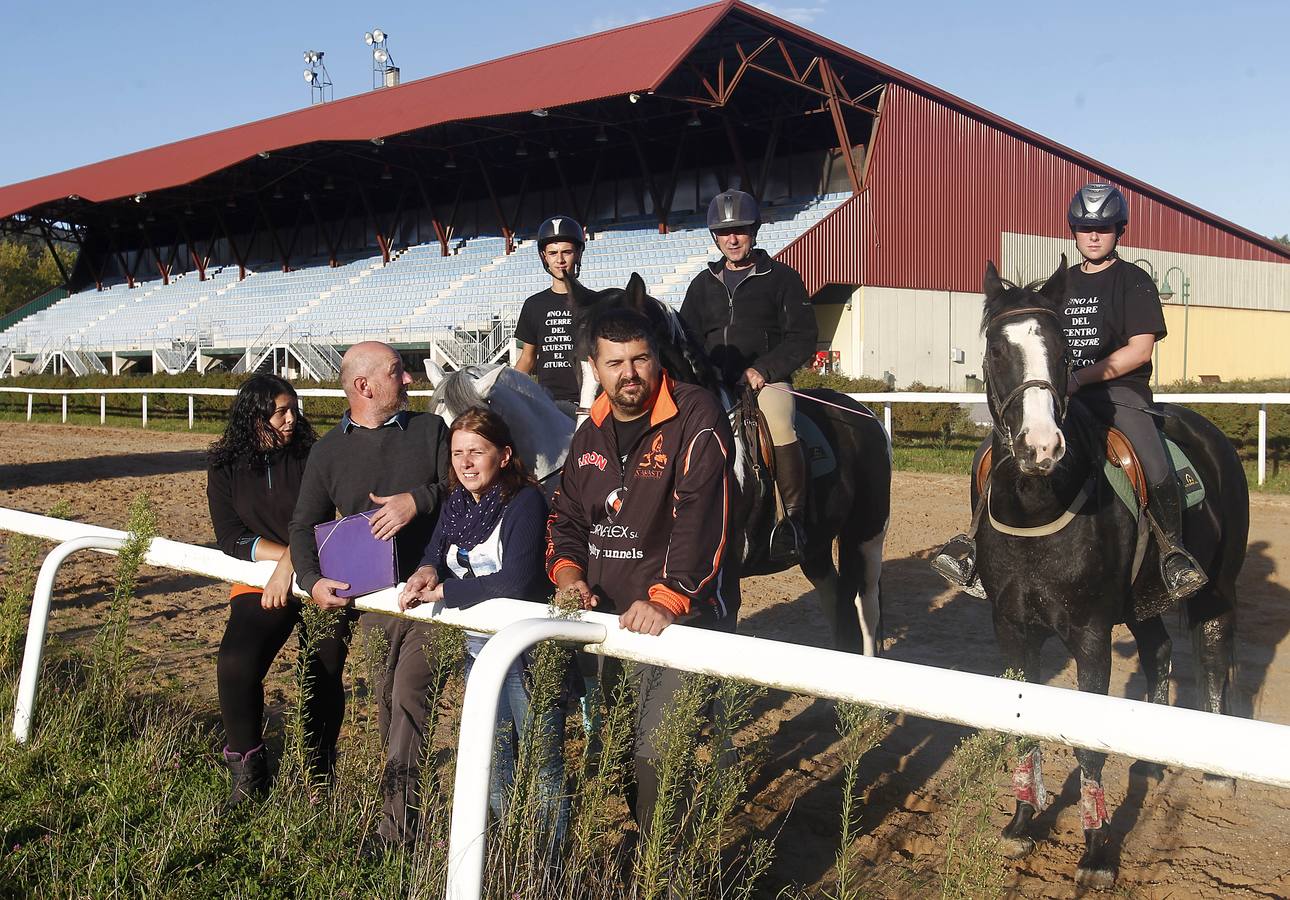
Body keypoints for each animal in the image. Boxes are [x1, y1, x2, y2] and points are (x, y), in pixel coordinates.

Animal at [570, 272, 892, 652]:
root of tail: (863, 413)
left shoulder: (721, 586)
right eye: (575, 362)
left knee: (865, 611)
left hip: (866, 537)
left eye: (624, 362)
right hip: (816, 548)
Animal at [975, 255, 1248, 887]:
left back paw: (1219, 772)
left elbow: (1089, 744)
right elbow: (1023, 724)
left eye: (1060, 348)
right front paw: (1021, 824)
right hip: (1140, 602)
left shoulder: (1091, 633)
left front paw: (1098, 853)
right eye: (997, 349)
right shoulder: (1010, 628)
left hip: (1216, 590)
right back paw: (1148, 756)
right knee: (1158, 653)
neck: (1039, 502)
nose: (1040, 447)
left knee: (1212, 654)